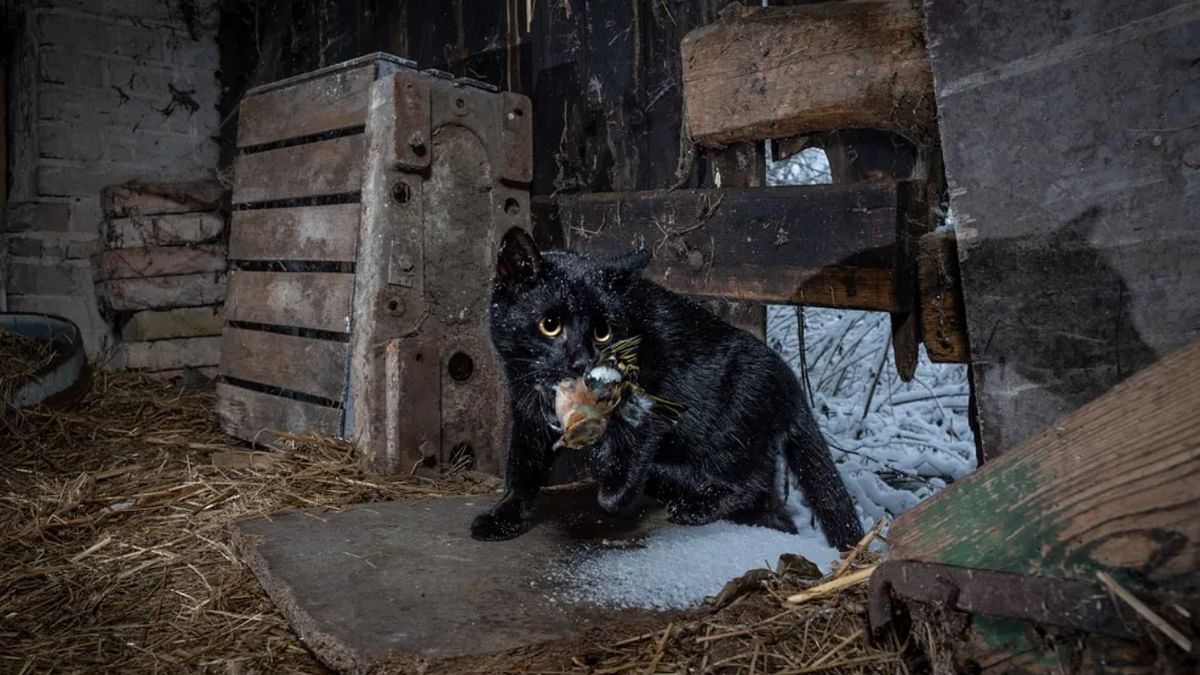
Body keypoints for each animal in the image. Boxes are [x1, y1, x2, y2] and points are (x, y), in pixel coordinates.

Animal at [472, 225, 868, 547]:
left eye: (603, 332)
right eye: (550, 325)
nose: (583, 362)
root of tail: (791, 384)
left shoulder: (651, 397)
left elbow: (623, 464)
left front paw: (614, 489)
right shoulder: (526, 410)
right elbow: (522, 465)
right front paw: (504, 517)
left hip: (729, 434)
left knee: (750, 484)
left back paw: (693, 506)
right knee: (773, 508)